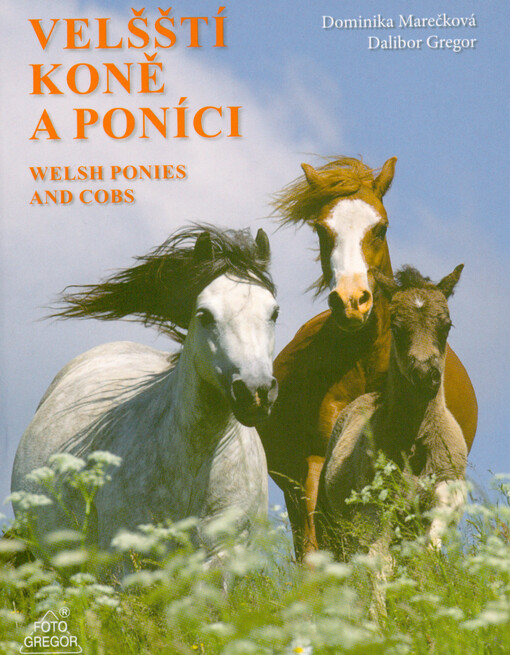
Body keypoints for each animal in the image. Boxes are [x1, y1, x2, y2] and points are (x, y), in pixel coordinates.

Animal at [315, 264, 467, 614]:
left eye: (446, 325)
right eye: (397, 328)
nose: (425, 374)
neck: (414, 444)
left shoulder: (442, 496)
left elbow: (426, 554)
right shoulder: (376, 508)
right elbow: (379, 563)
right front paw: (379, 619)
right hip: (336, 527)